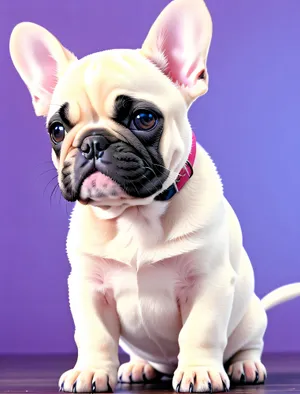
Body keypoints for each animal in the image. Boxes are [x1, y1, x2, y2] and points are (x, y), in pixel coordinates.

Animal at [8, 0, 300, 390]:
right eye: (57, 130)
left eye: (144, 118)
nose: (92, 143)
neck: (134, 213)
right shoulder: (86, 287)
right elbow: (95, 335)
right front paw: (91, 370)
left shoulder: (208, 283)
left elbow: (200, 331)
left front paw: (198, 370)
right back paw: (139, 366)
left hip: (251, 316)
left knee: (249, 343)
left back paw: (245, 366)